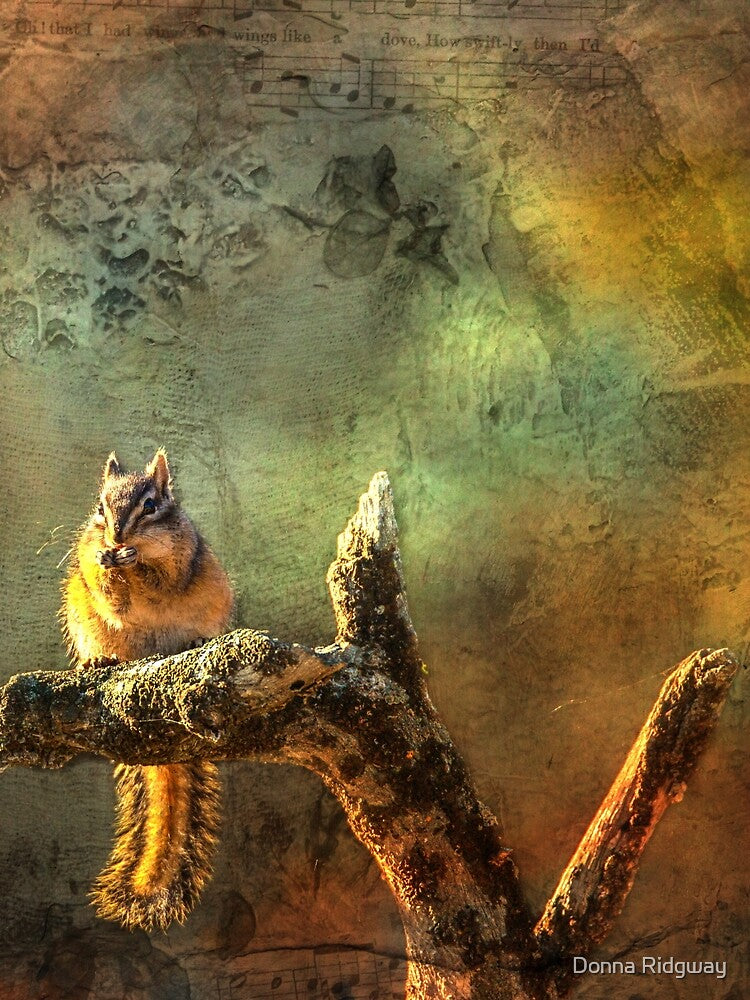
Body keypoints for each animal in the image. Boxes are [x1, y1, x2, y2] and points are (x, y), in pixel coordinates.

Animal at [60, 448, 234, 932]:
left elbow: (161, 582)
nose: (117, 535)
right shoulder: (86, 561)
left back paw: (194, 643)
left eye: (152, 505)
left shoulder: (179, 559)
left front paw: (134, 557)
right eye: (100, 508)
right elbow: (107, 590)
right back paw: (100, 661)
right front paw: (109, 561)